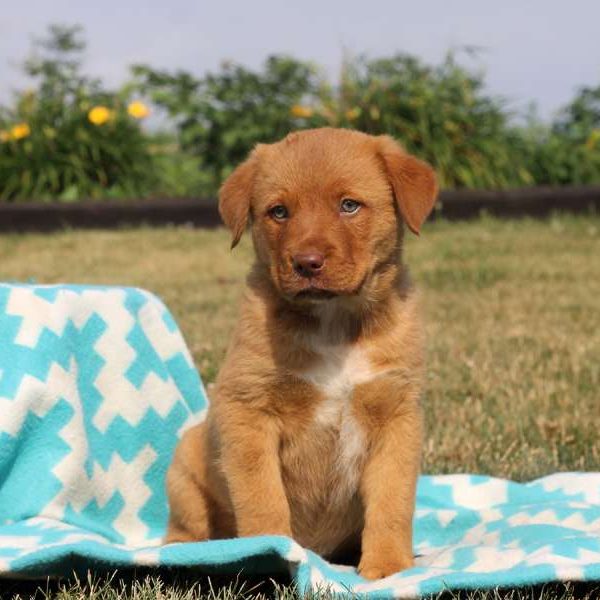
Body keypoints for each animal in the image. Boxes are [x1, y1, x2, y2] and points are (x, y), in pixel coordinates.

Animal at [166, 127, 438, 580]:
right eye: (279, 212)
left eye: (349, 205)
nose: (306, 263)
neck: (334, 323)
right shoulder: (248, 410)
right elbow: (262, 497)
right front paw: (268, 552)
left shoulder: (397, 416)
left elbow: (392, 501)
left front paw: (387, 566)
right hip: (185, 466)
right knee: (186, 527)